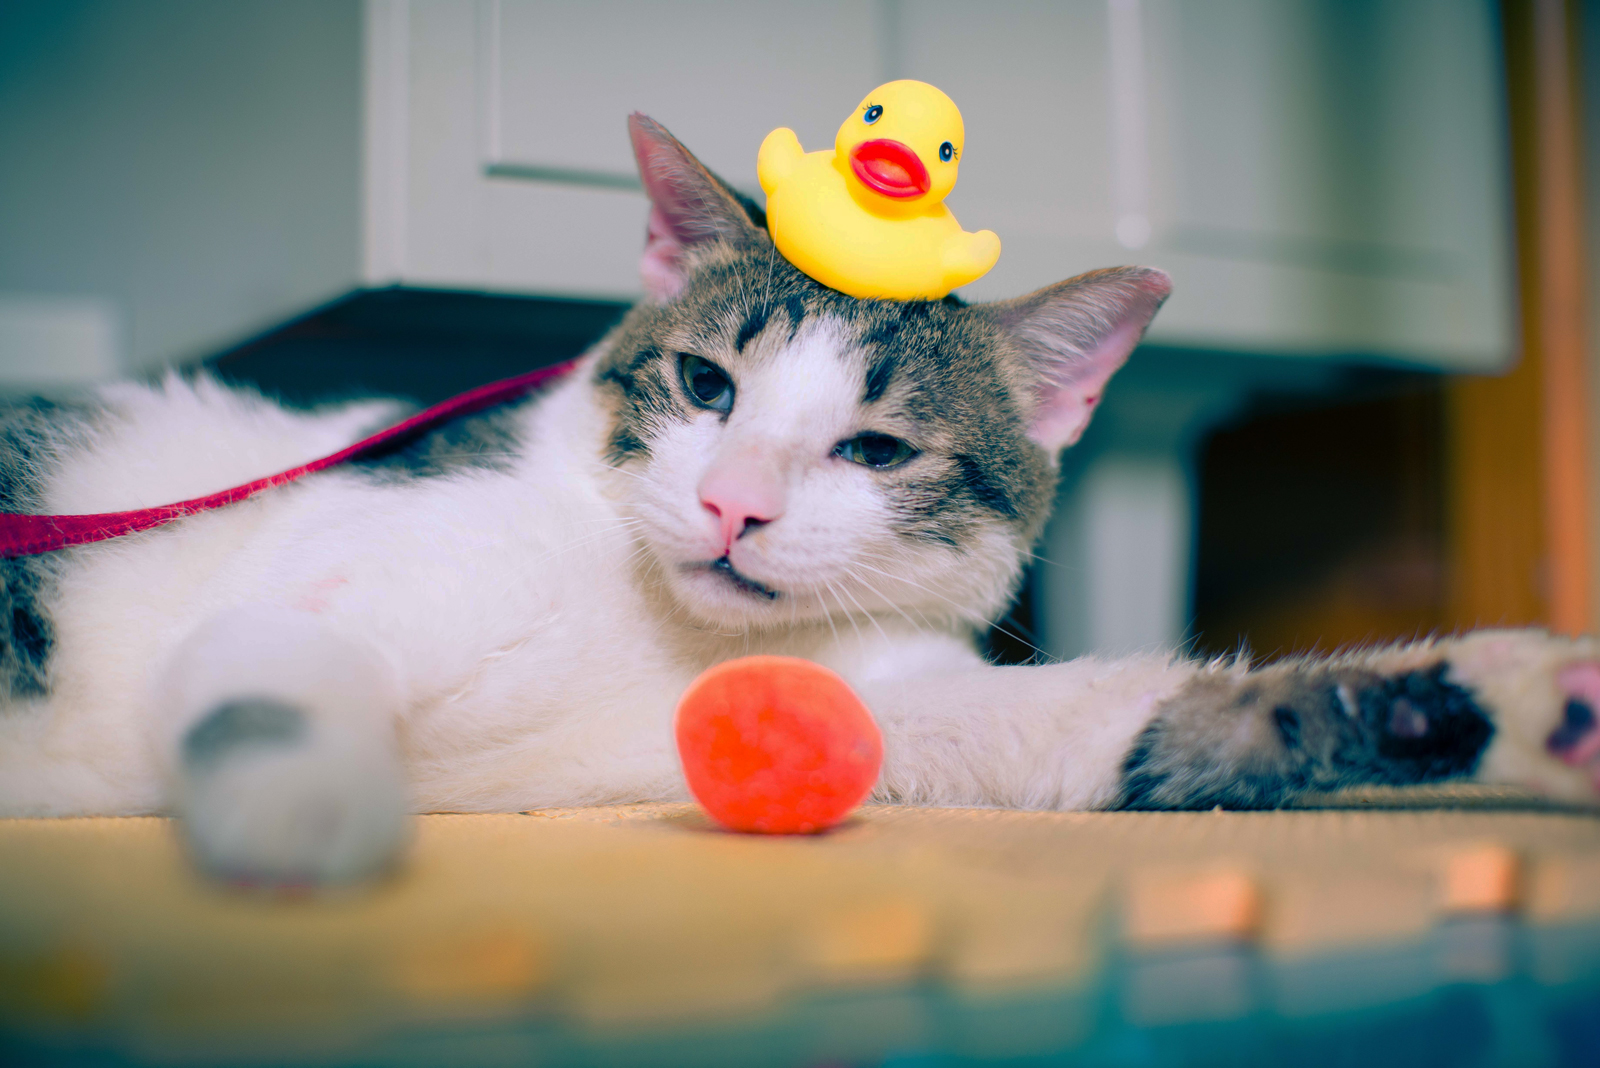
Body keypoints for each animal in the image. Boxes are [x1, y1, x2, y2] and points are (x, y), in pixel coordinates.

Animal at [0, 112, 1593, 888]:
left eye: (875, 453)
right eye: (706, 385)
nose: (733, 510)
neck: (655, 629)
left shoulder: (881, 701)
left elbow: (1131, 725)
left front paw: (1516, 703)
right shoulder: (333, 577)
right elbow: (275, 670)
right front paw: (307, 817)